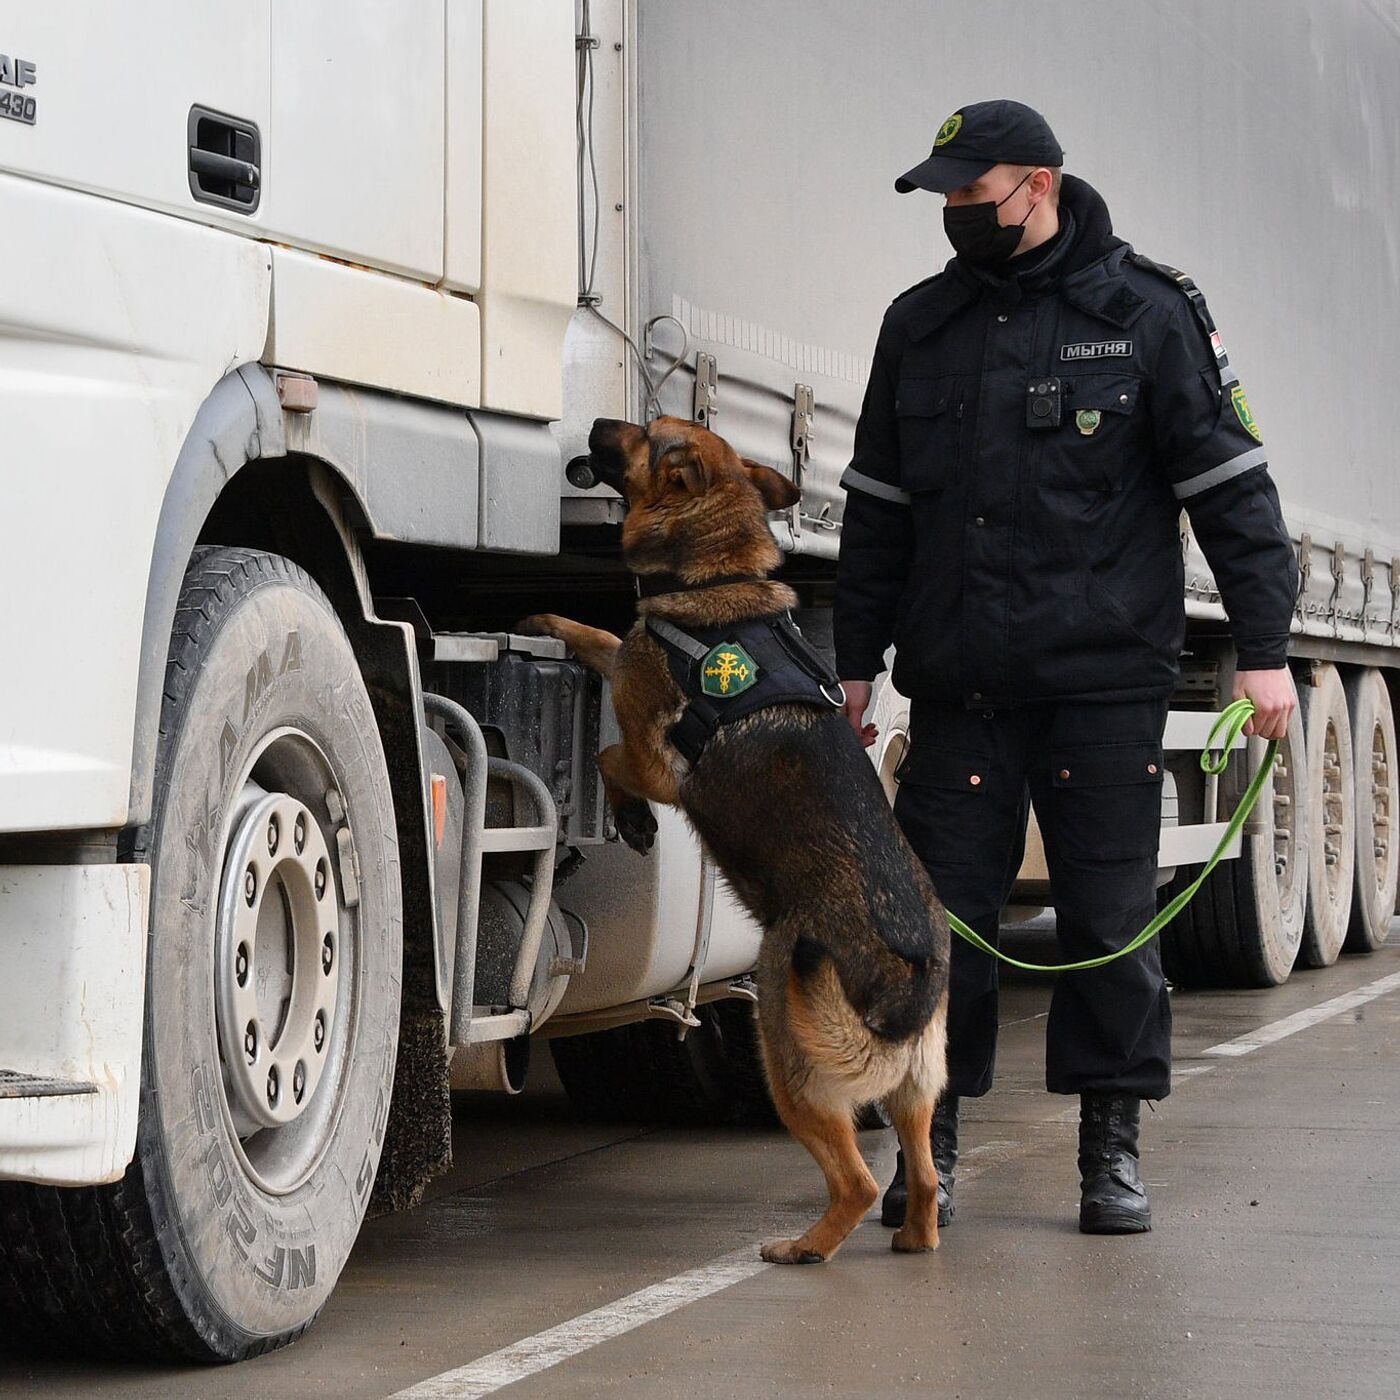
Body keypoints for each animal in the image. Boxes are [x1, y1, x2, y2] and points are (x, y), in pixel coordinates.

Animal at [523, 420, 952, 1265]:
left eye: (644, 433)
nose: (595, 425)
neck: (717, 570)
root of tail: (907, 970)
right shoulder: (629, 660)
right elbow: (600, 635)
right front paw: (547, 622)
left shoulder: (657, 757)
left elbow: (607, 752)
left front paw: (633, 821)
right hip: (918, 1087)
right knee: (920, 1175)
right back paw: (913, 1238)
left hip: (786, 1057)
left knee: (855, 1180)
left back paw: (804, 1248)